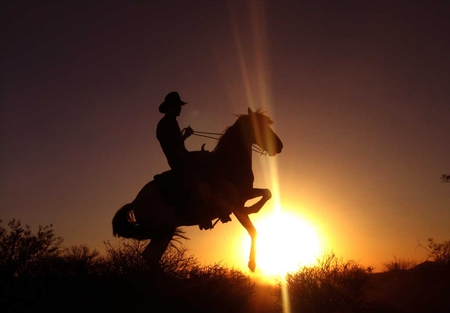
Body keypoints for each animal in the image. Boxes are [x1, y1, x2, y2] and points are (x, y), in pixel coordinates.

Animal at [112, 108, 282, 270]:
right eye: (259, 125)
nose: (279, 146)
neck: (227, 164)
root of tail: (135, 202)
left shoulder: (244, 195)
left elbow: (267, 193)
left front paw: (253, 208)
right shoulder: (236, 205)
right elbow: (253, 231)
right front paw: (252, 264)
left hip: (164, 232)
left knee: (150, 256)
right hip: (164, 231)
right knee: (151, 256)